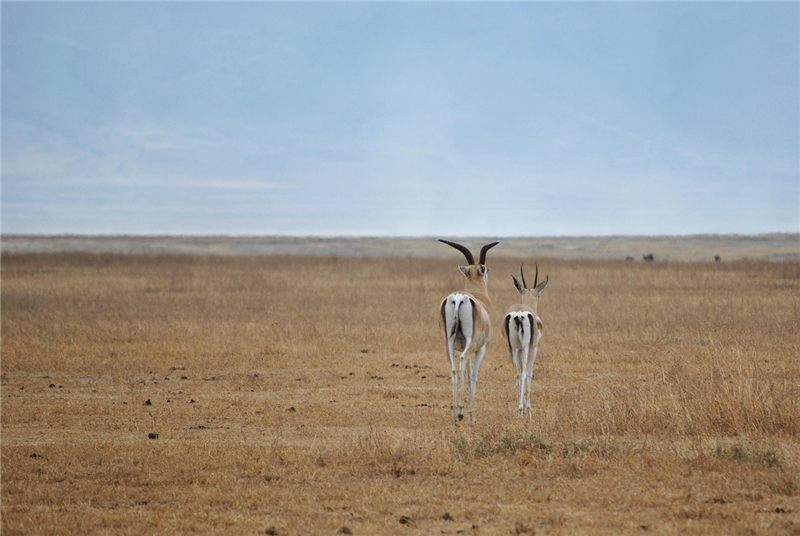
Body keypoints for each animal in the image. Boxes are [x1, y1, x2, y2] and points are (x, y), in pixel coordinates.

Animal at [438, 239, 499, 424]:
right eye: (486, 269)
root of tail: (458, 297)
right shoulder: (481, 348)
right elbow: (473, 376)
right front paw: (472, 417)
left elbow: (466, 371)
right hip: (470, 345)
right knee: (463, 361)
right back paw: (461, 413)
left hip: (449, 344)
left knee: (453, 369)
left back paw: (454, 415)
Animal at [503, 263, 549, 417]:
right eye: (539, 294)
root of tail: (519, 314)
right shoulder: (534, 348)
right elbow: (529, 373)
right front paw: (528, 408)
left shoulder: (517, 349)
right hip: (525, 348)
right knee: (523, 373)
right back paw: (521, 409)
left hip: (513, 348)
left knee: (517, 373)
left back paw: (518, 410)